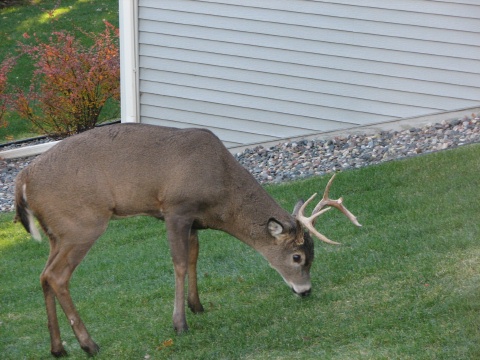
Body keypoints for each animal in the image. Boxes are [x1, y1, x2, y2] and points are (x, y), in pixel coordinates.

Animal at [13, 124, 360, 358]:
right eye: (297, 257)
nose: (305, 291)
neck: (221, 196)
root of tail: (22, 180)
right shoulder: (176, 209)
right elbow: (179, 263)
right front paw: (179, 324)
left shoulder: (193, 221)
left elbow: (194, 257)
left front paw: (197, 306)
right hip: (82, 224)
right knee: (57, 276)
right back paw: (89, 344)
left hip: (58, 233)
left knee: (43, 275)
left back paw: (58, 348)